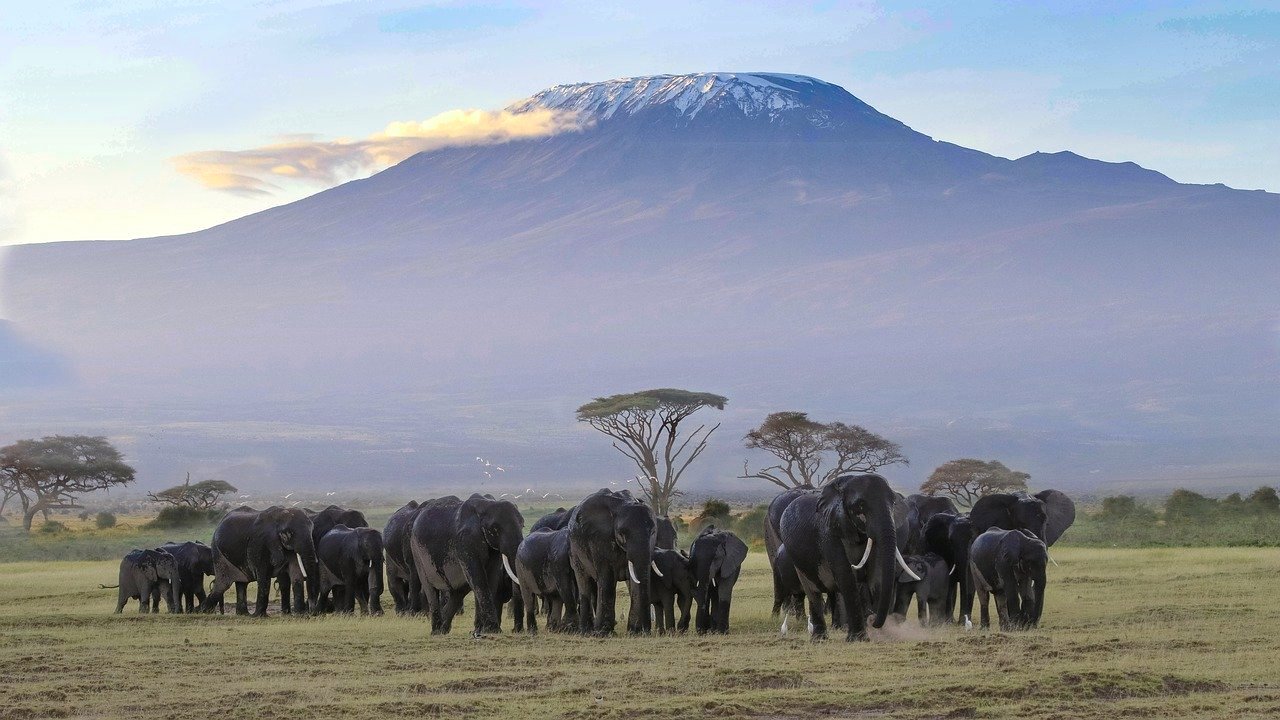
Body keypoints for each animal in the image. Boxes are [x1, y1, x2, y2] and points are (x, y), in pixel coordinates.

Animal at [412, 489, 527, 630]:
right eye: (495, 529)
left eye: (523, 525)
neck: (486, 506)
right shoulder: (465, 541)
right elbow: (479, 577)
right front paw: (493, 630)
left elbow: (491, 577)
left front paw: (481, 631)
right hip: (417, 552)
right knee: (431, 590)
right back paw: (436, 630)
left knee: (458, 591)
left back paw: (443, 630)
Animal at [568, 486, 660, 632]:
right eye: (622, 534)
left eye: (652, 532)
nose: (647, 630)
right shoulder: (599, 538)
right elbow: (607, 578)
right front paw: (602, 632)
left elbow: (635, 582)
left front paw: (635, 631)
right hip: (574, 550)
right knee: (584, 581)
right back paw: (586, 631)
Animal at [773, 474, 916, 635]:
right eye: (860, 505)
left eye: (893, 502)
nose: (873, 621)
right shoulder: (828, 532)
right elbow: (845, 574)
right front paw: (858, 637)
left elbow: (876, 575)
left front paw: (880, 634)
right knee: (809, 591)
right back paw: (816, 634)